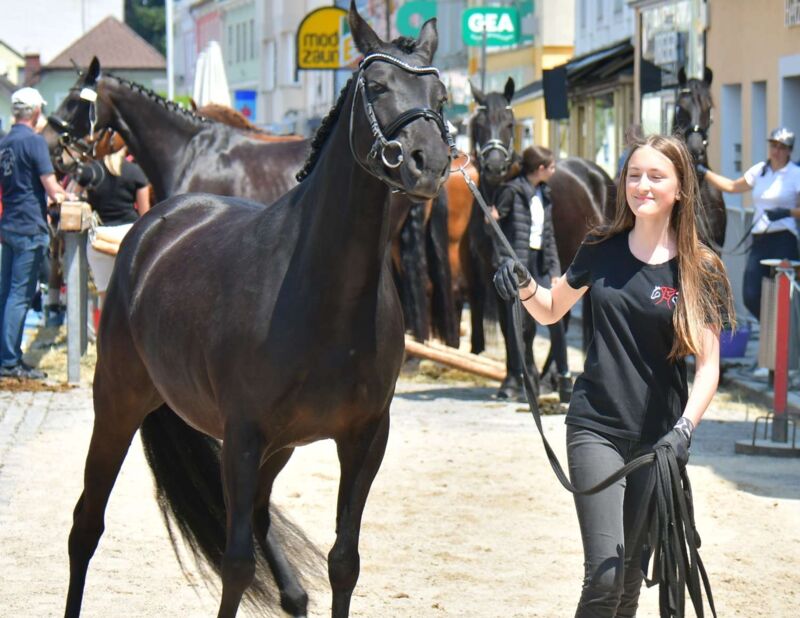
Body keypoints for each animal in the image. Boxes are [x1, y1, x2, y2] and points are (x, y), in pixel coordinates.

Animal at [63, 7, 452, 617]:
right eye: (378, 86)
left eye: (439, 94)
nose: (428, 162)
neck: (327, 296)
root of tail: (154, 227)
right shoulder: (243, 436)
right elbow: (237, 564)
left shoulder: (365, 438)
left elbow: (344, 562)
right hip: (119, 403)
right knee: (86, 525)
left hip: (278, 448)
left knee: (259, 518)